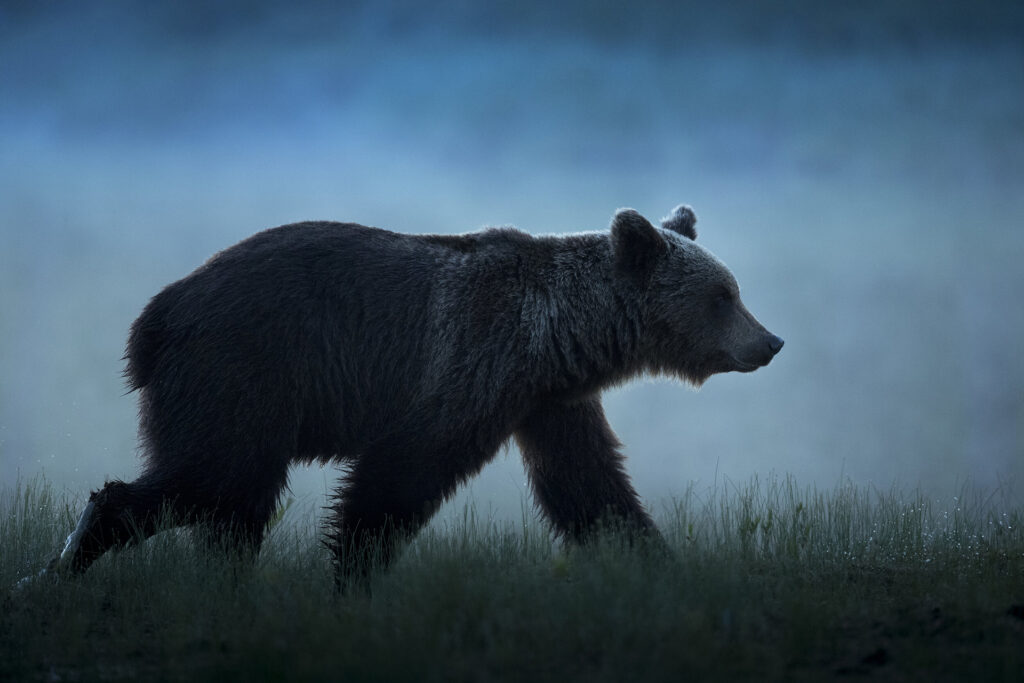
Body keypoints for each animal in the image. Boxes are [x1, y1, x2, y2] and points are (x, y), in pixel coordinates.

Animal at [38, 204, 783, 587]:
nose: (770, 341)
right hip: (242, 369)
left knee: (231, 505)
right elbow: (397, 477)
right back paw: (69, 559)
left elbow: (590, 487)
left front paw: (654, 561)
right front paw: (352, 575)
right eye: (723, 296)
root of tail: (153, 318)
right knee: (214, 477)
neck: (557, 333)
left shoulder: (548, 400)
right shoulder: (470, 365)